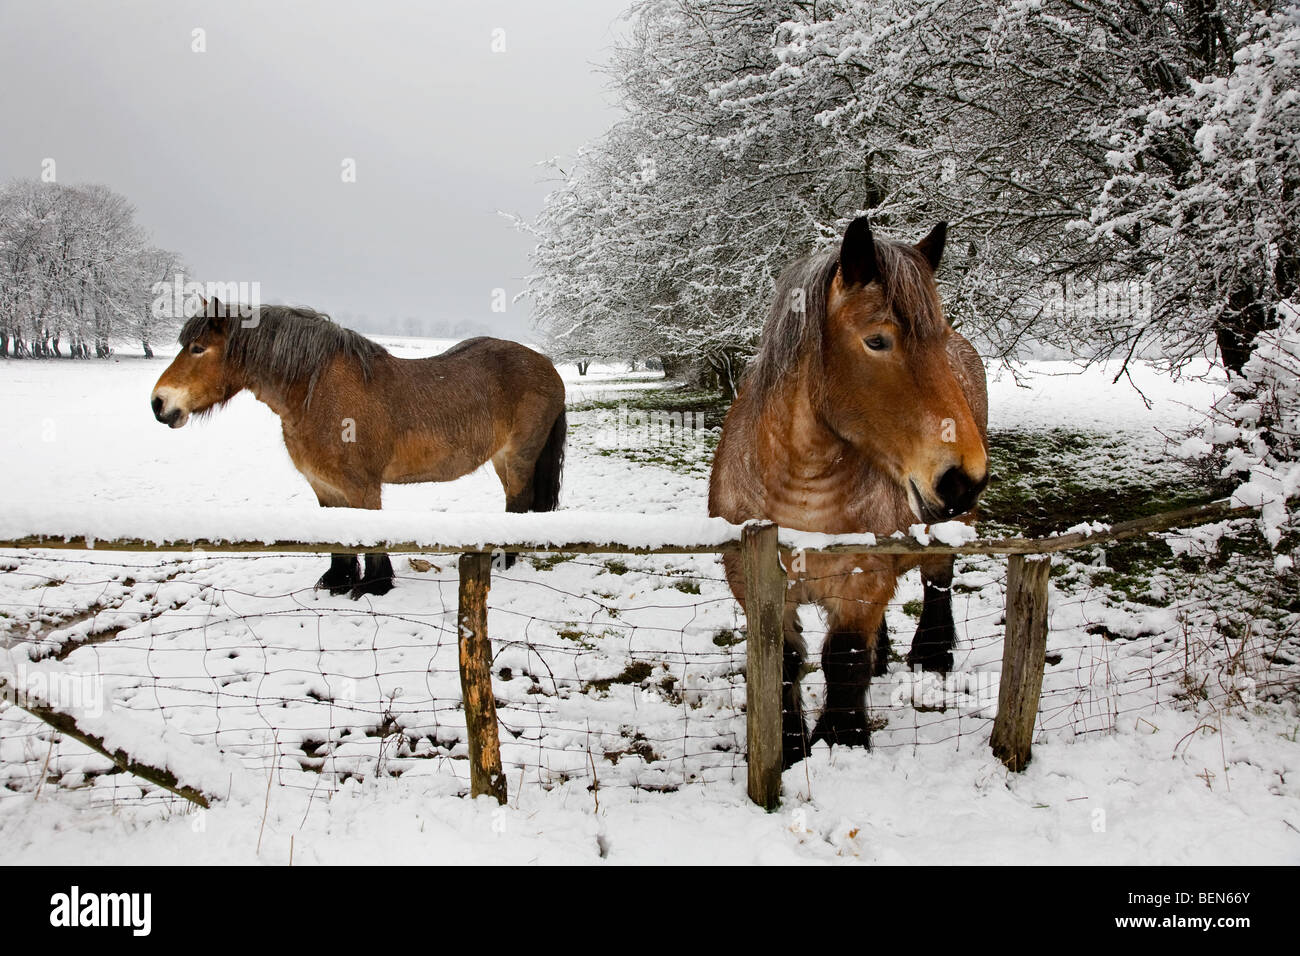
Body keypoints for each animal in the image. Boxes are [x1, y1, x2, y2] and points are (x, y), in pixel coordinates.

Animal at [149, 303, 566, 595]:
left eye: (198, 348)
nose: (158, 403)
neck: (316, 392)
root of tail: (547, 366)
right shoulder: (325, 487)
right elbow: (339, 540)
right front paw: (338, 582)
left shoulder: (363, 487)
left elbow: (371, 539)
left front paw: (374, 586)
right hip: (501, 458)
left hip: (519, 457)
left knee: (519, 502)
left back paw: (505, 562)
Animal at [712, 218, 982, 770]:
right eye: (876, 341)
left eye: (938, 336)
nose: (964, 477)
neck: (801, 493)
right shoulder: (753, 582)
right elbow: (784, 660)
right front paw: (788, 746)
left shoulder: (862, 581)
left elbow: (844, 658)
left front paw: (842, 741)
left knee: (938, 581)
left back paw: (933, 657)